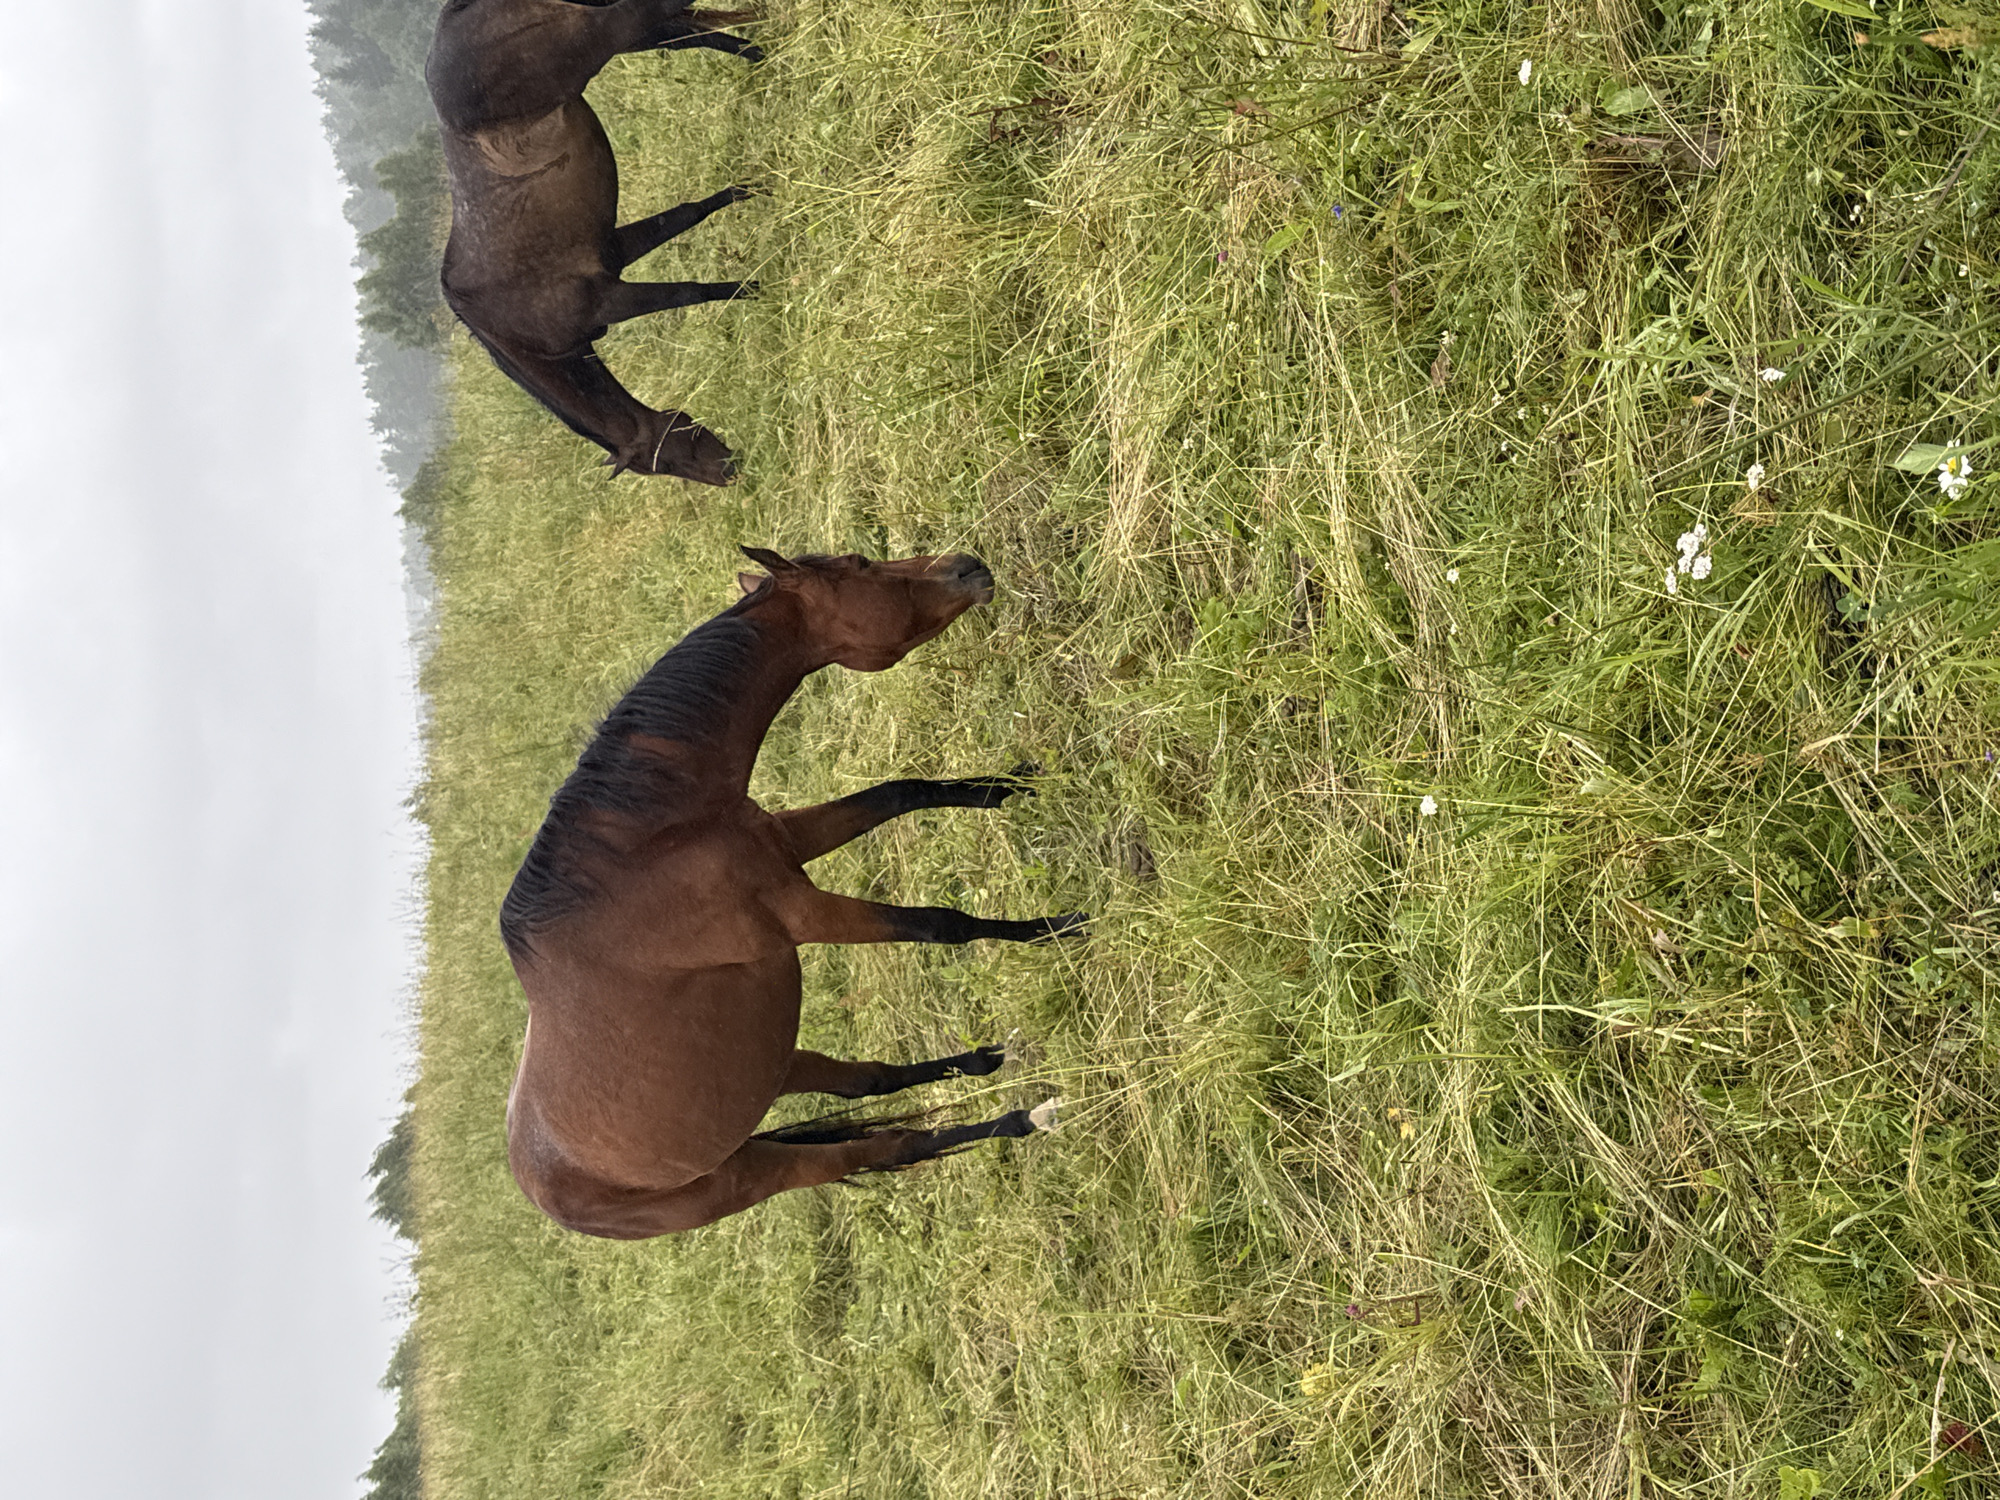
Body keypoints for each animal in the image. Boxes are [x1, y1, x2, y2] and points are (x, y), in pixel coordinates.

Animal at [426, 0, 765, 484]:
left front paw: (755, 289)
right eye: (666, 465)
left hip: (612, 32)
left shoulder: (610, 300)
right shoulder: (614, 252)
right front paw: (748, 191)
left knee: (668, 18)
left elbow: (688, 292)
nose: (732, 472)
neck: (516, 333)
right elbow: (688, 214)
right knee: (685, 28)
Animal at [499, 548, 1087, 1237]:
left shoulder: (789, 841)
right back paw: (1023, 1118)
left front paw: (1012, 787)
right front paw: (1055, 928)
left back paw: (982, 1064)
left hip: (774, 1071)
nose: (965, 565)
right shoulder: (801, 913)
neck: (649, 842)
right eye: (862, 565)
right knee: (893, 1145)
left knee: (868, 1084)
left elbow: (901, 792)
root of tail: (544, 1193)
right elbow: (941, 923)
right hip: (751, 1173)